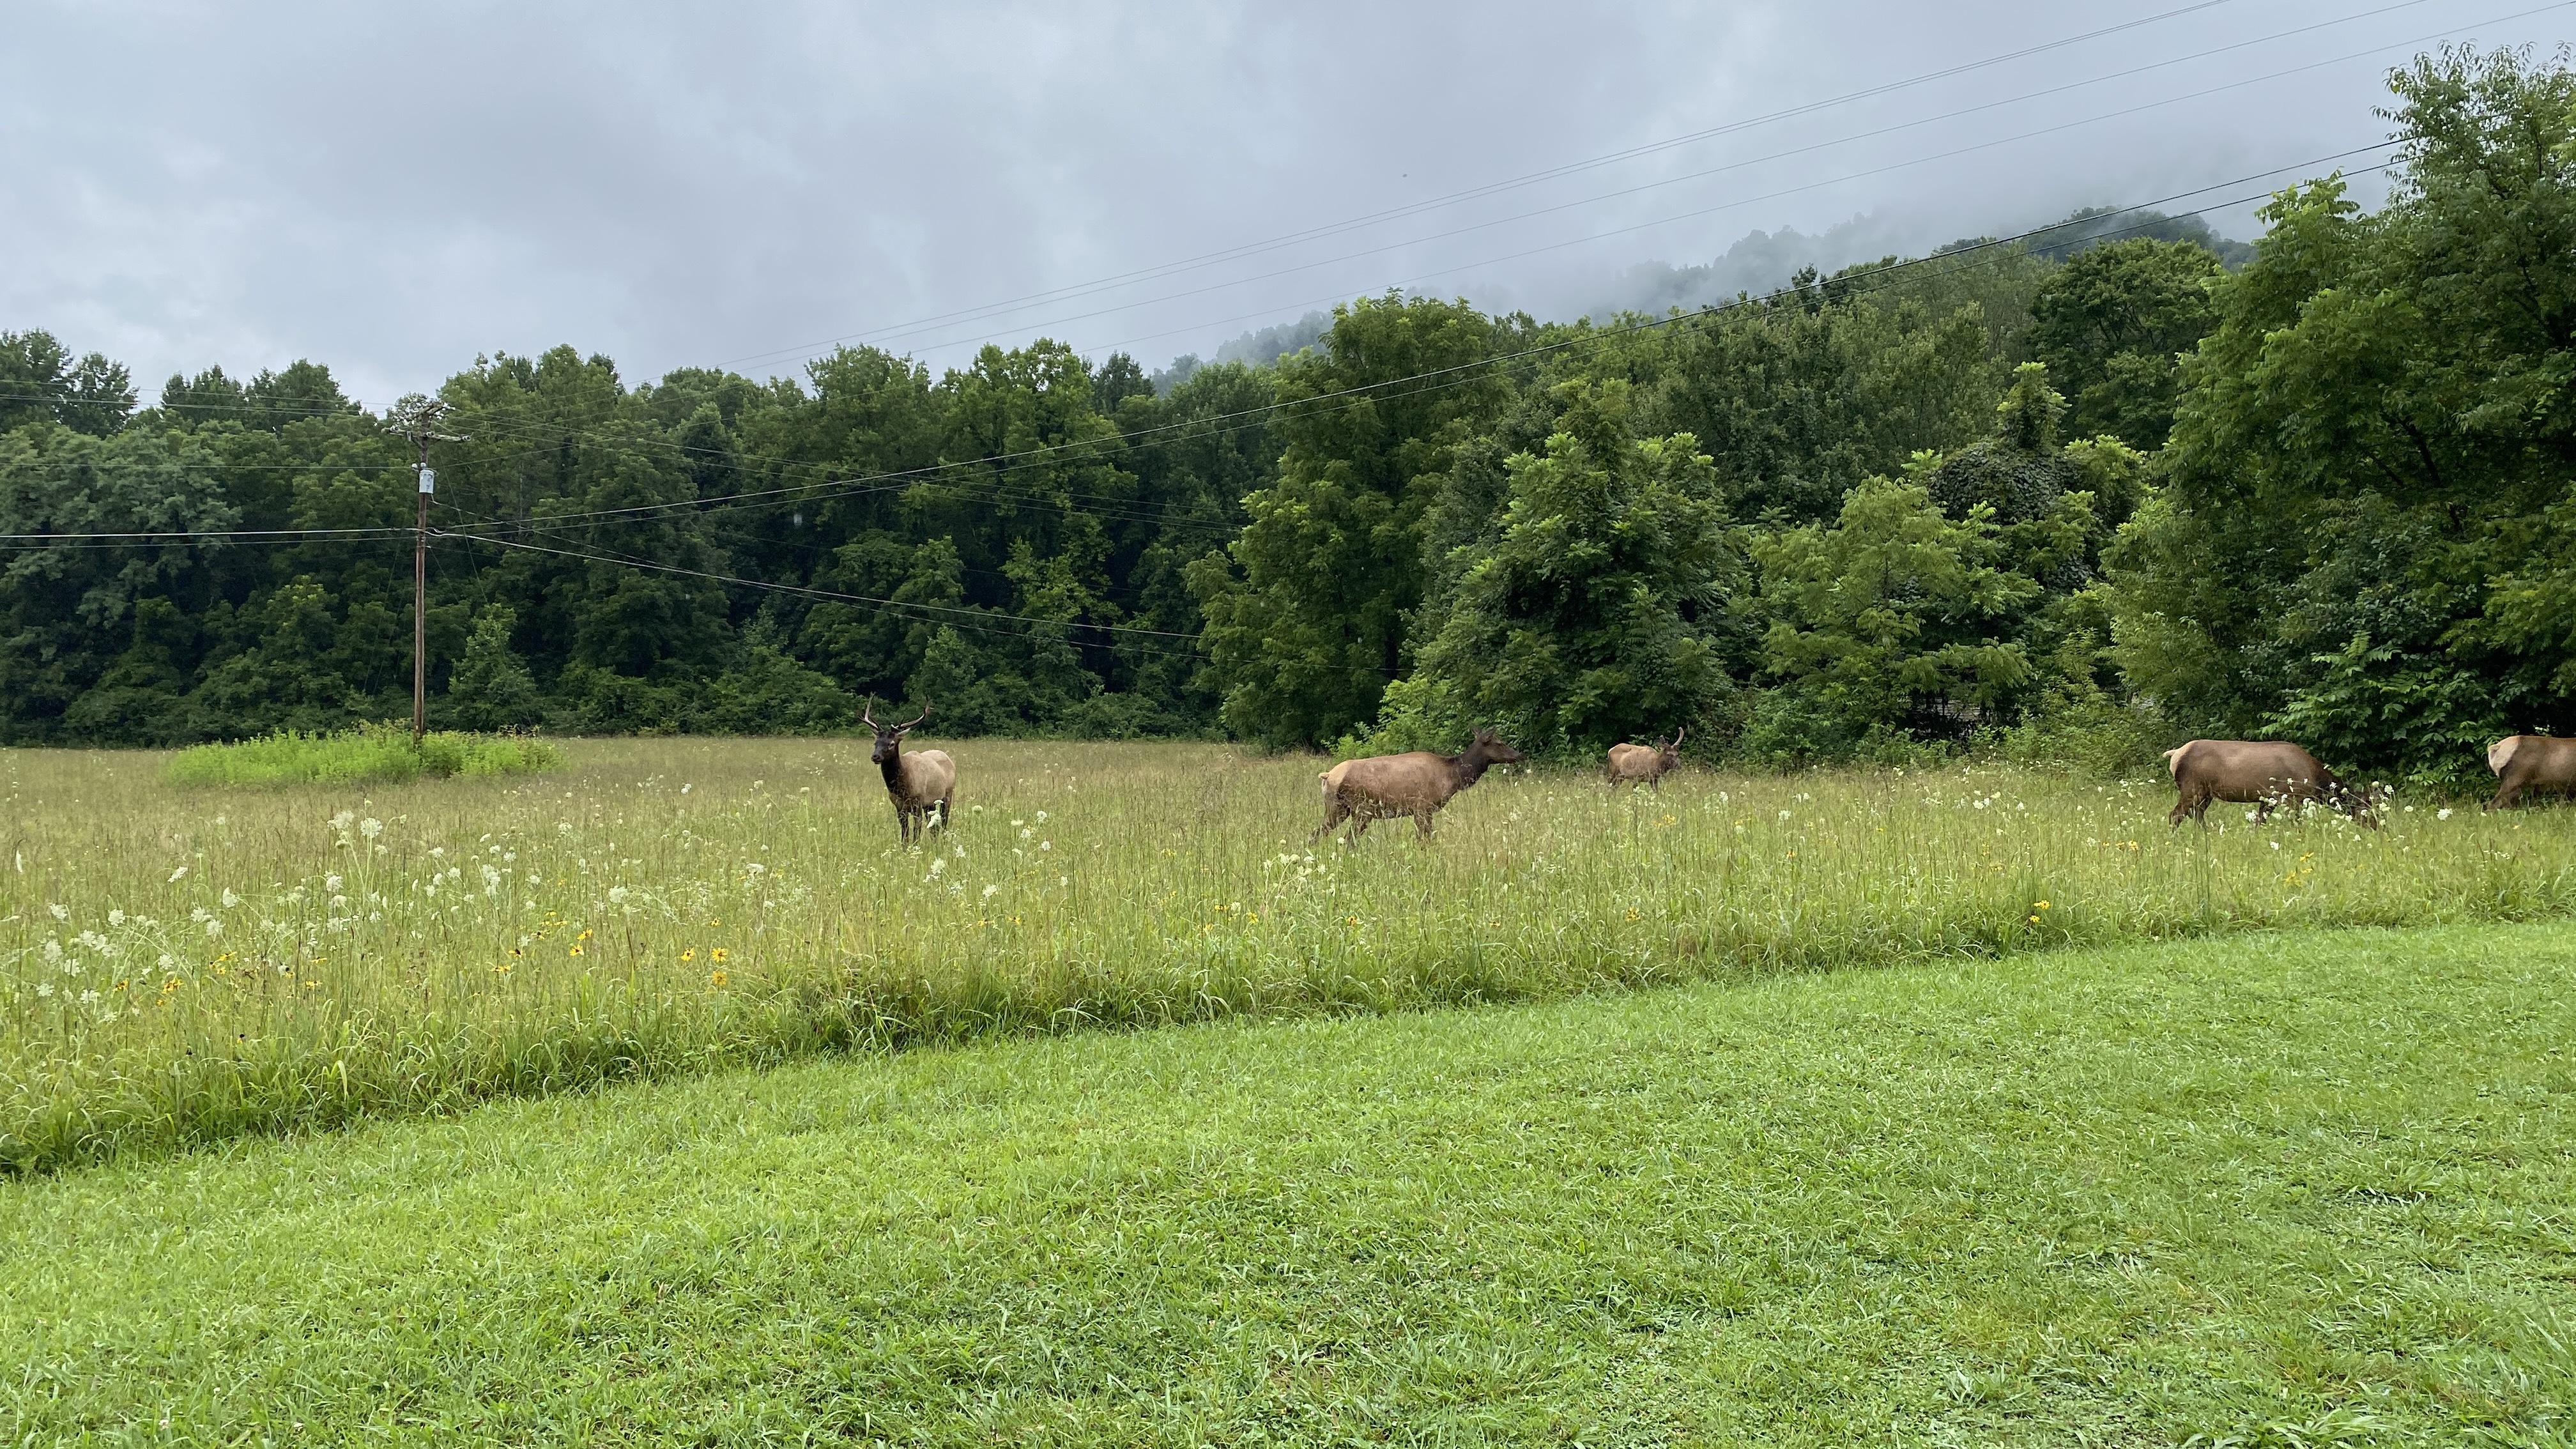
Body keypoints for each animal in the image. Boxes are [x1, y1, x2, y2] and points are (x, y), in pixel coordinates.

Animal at [865, 696, 958, 840]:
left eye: (891, 744)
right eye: (876, 742)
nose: (876, 756)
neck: (902, 787)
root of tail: (949, 759)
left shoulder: (917, 801)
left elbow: (916, 831)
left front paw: (916, 845)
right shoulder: (898, 805)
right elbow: (904, 834)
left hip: (948, 794)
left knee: (944, 821)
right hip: (930, 803)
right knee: (933, 827)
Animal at [1308, 727, 1524, 840]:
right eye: (1500, 743)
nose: (1520, 755)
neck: (1453, 777)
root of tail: (1328, 776)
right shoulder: (1423, 807)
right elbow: (1425, 839)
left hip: (1337, 808)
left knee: (1316, 834)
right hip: (1362, 809)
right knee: (1348, 840)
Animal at [1597, 721, 1679, 788]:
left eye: (1677, 754)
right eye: (1669, 754)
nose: (1677, 764)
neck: (1656, 762)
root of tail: (1610, 751)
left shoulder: (1654, 778)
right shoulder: (1637, 776)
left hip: (1620, 776)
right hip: (1613, 771)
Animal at [2153, 737, 2370, 830]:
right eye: (2366, 810)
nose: (2376, 829)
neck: (2315, 780)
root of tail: (2175, 755)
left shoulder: (2268, 798)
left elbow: (2260, 821)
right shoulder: (2292, 797)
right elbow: (2296, 823)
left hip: (2206, 793)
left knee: (2197, 815)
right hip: (2192, 788)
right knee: (2176, 815)